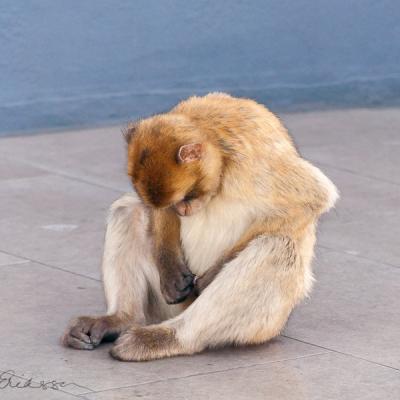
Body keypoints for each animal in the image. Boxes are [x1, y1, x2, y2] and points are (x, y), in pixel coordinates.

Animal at [62, 93, 338, 360]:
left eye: (187, 197)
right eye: (175, 203)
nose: (182, 210)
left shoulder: (255, 161)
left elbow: (312, 198)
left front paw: (213, 274)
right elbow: (150, 209)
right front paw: (170, 270)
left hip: (264, 325)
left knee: (277, 246)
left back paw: (171, 338)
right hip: (167, 308)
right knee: (127, 210)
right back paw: (122, 319)